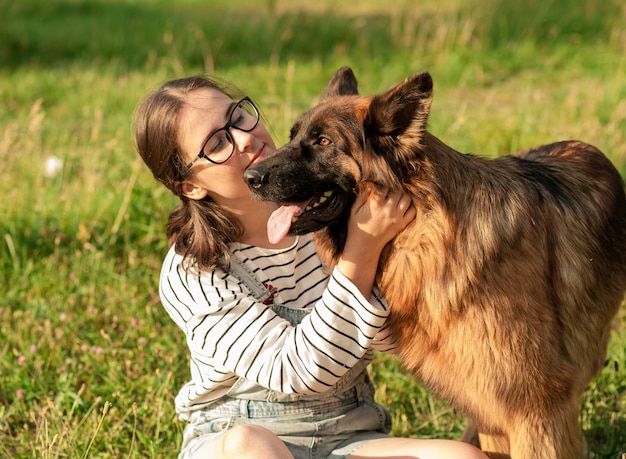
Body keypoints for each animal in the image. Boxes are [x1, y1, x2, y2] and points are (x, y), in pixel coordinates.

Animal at [243, 66, 624, 458]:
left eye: (324, 142)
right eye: (293, 136)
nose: (249, 178)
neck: (424, 230)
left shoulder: (536, 406)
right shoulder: (494, 407)